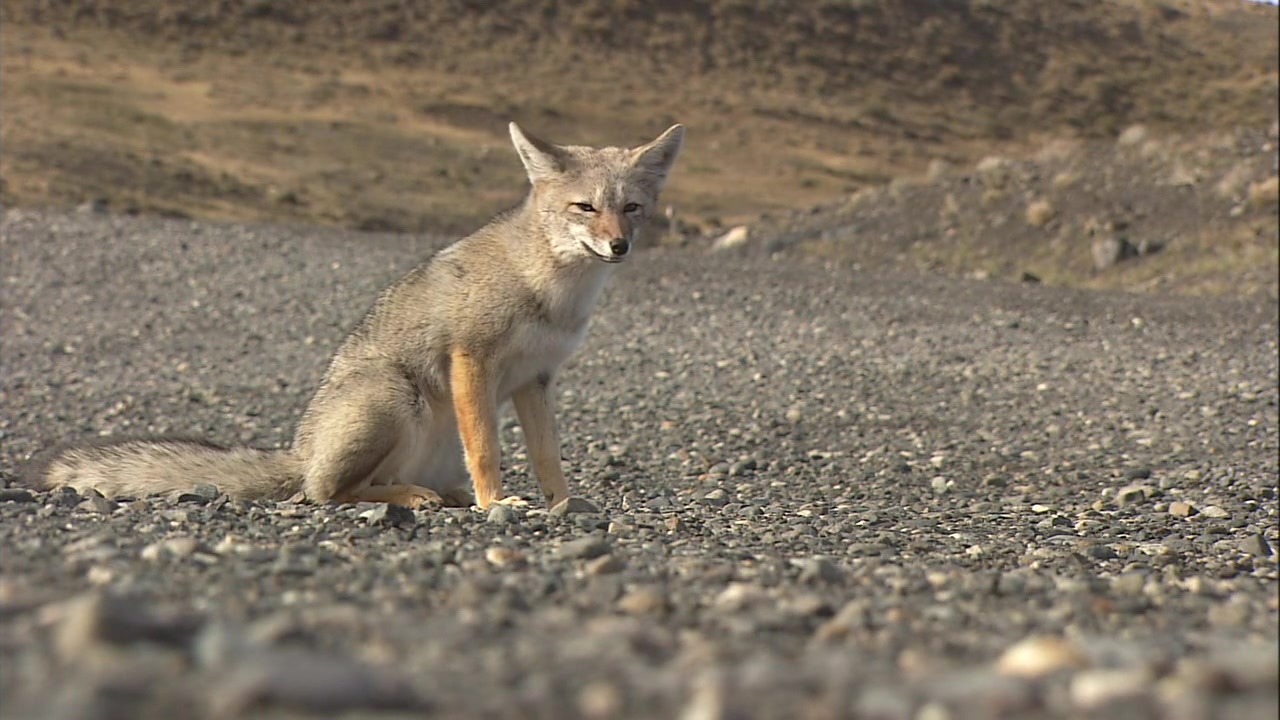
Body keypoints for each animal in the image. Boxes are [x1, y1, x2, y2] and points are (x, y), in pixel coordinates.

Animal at [35, 120, 686, 507]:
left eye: (631, 208)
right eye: (585, 208)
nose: (618, 246)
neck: (552, 291)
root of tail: (300, 452)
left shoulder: (536, 379)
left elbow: (548, 455)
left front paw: (560, 503)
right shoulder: (471, 359)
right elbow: (487, 448)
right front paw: (496, 504)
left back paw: (437, 496)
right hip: (396, 398)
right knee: (329, 493)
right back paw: (410, 498)